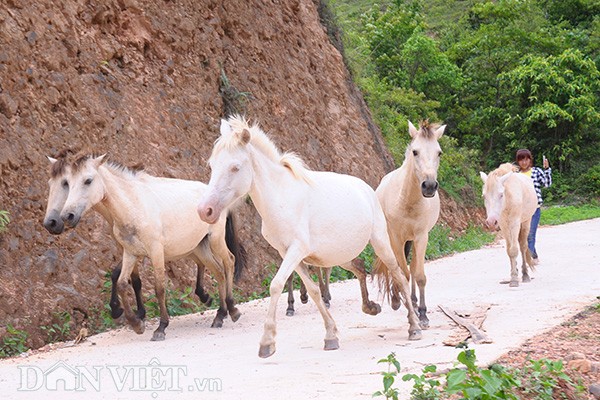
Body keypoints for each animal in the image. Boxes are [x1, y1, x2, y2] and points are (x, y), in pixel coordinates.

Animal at [59, 153, 246, 340]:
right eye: (67, 183)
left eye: (88, 180)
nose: (67, 216)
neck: (133, 207)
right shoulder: (130, 253)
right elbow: (122, 284)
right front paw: (136, 324)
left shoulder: (156, 252)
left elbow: (159, 288)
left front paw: (161, 327)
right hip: (200, 247)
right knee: (218, 272)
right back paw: (219, 316)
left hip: (215, 240)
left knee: (229, 262)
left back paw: (232, 310)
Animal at [198, 114, 422, 358]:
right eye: (211, 165)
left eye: (235, 167)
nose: (205, 210)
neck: (282, 198)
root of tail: (367, 188)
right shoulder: (288, 253)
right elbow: (314, 291)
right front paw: (331, 335)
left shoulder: (296, 250)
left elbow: (276, 285)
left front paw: (267, 342)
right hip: (338, 255)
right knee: (360, 268)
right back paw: (371, 307)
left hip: (381, 243)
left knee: (399, 275)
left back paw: (414, 325)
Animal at [376, 120, 446, 330]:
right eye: (415, 152)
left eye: (439, 152)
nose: (429, 186)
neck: (407, 201)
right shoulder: (396, 239)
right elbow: (403, 275)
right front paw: (410, 314)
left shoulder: (421, 236)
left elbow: (419, 274)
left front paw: (422, 314)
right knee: (397, 269)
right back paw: (398, 300)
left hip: (413, 240)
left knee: (413, 267)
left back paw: (414, 303)